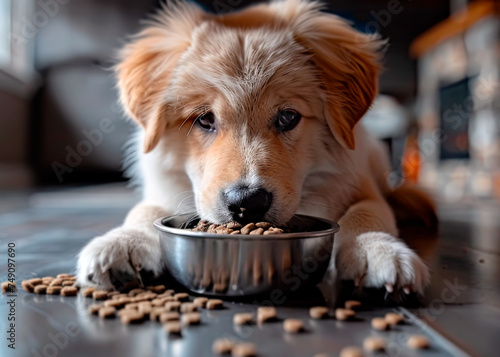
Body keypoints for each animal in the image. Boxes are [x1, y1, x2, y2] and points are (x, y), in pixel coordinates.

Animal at [76, 0, 436, 294]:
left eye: (288, 117)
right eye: (205, 119)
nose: (246, 202)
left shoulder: (359, 184)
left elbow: (367, 211)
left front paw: (376, 249)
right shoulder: (162, 188)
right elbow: (145, 210)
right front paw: (124, 241)